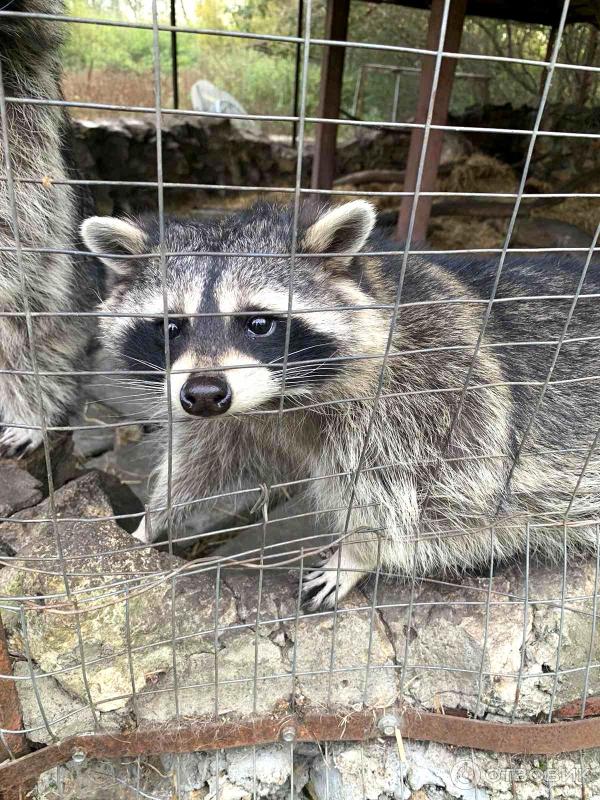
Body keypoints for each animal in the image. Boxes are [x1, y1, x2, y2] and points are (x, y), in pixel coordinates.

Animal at [82, 202, 600, 612]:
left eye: (259, 323)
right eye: (172, 327)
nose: (205, 394)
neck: (283, 400)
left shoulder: (435, 387)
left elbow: (442, 497)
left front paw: (357, 554)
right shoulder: (225, 413)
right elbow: (202, 461)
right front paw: (151, 521)